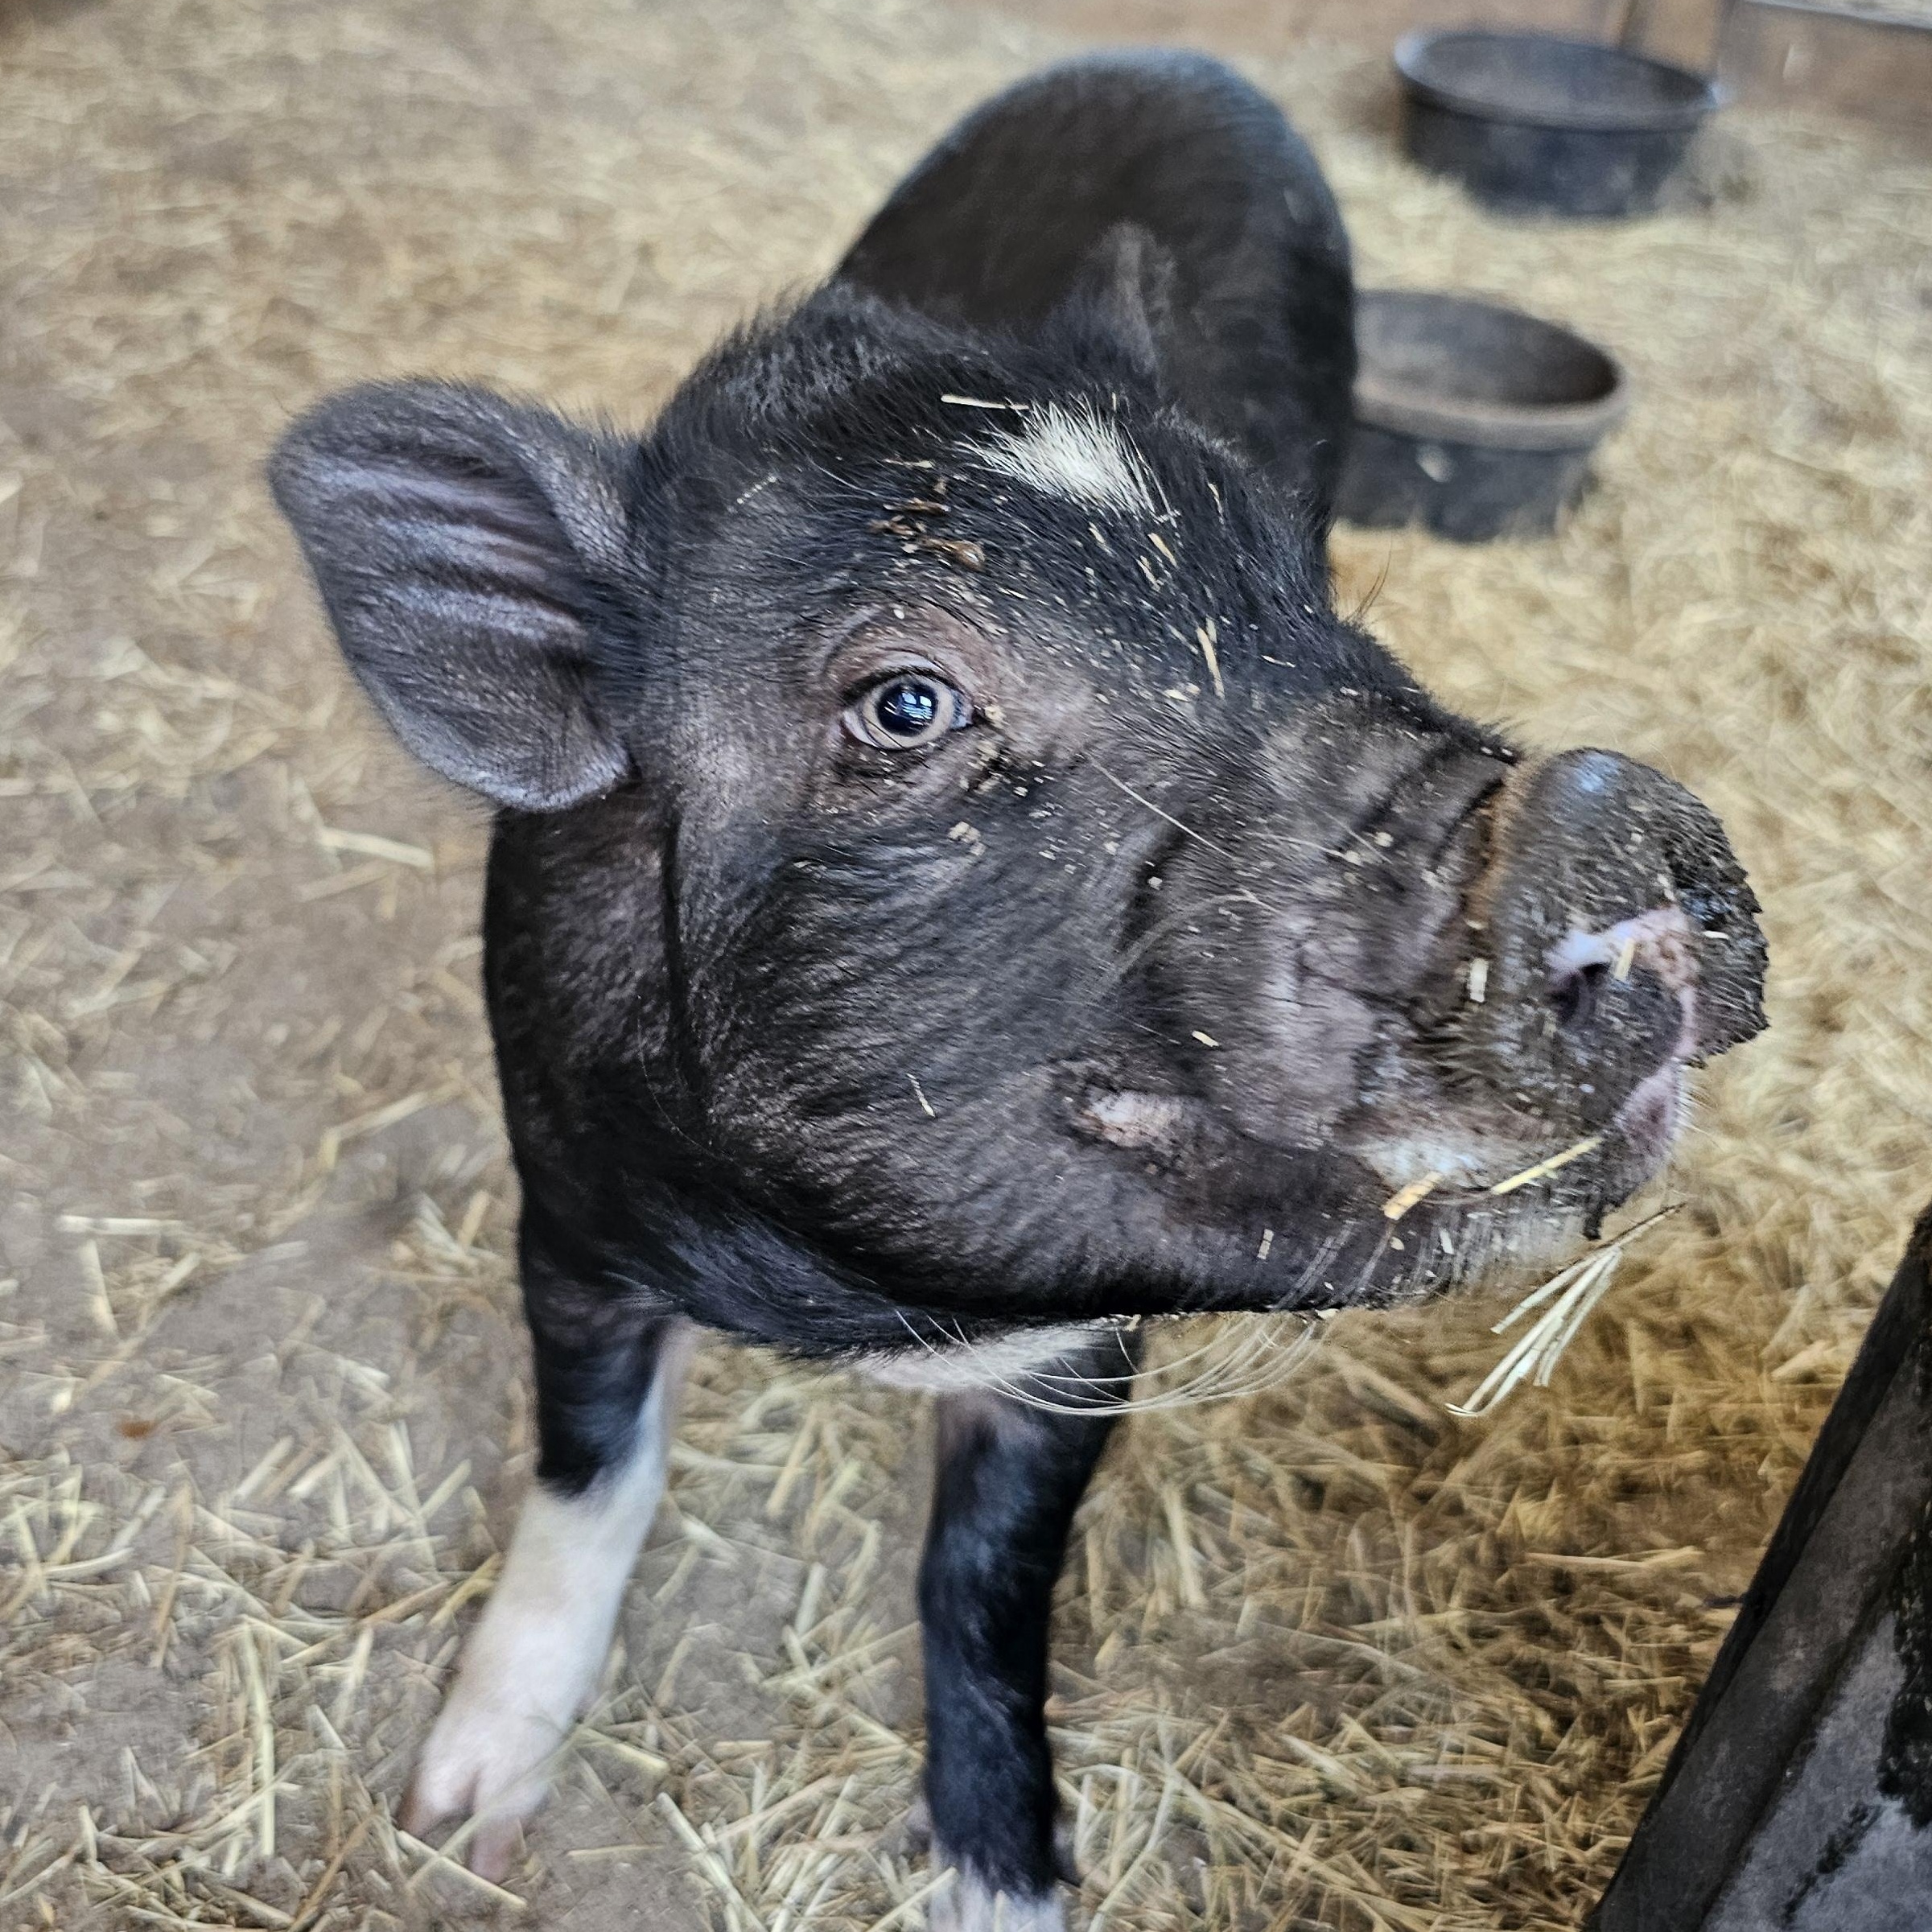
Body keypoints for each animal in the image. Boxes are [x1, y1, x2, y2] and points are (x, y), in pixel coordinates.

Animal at [269, 50, 1767, 1931]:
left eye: (1304, 609)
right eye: (907, 704)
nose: (1613, 816)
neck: (845, 1294)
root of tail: (1185, 64)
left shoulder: (1081, 1349)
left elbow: (985, 1587)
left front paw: (1011, 1891)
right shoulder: (566, 1203)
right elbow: (585, 1478)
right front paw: (456, 1821)